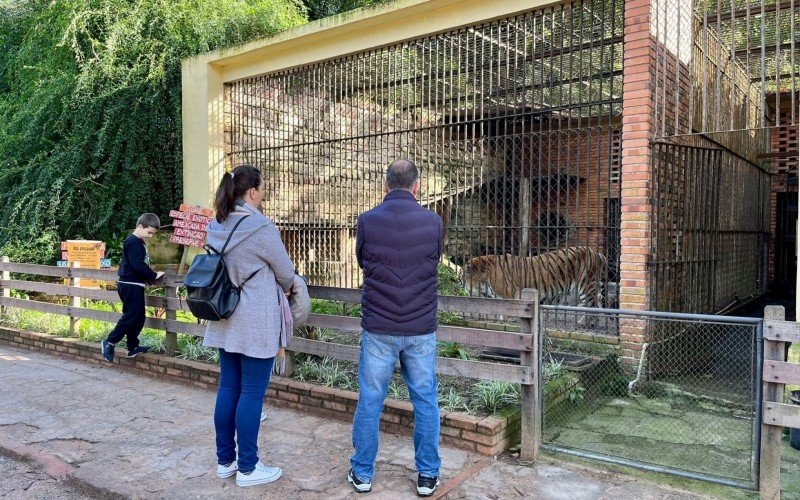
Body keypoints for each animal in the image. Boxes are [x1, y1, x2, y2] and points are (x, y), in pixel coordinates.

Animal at [462, 247, 608, 306]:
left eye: (462, 276)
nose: (459, 282)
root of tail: (597, 253)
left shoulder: (512, 295)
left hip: (585, 284)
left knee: (590, 306)